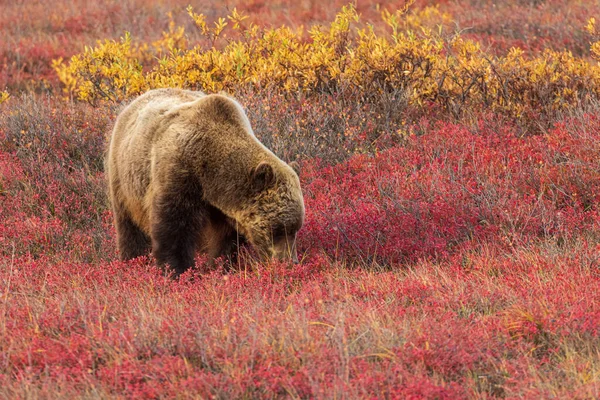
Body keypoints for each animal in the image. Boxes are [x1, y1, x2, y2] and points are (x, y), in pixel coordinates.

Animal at [105, 88, 304, 276]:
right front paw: (177, 271)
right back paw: (131, 261)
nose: (289, 262)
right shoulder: (179, 174)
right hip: (125, 178)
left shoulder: (223, 207)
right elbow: (173, 230)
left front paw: (220, 265)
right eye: (278, 229)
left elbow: (224, 238)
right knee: (129, 226)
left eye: (295, 228)